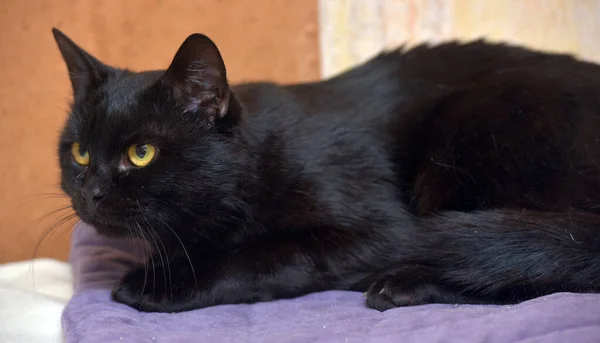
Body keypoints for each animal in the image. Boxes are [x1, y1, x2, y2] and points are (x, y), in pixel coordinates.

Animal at [51, 28, 600, 314]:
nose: (91, 191)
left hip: (477, 125)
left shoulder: (374, 229)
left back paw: (403, 284)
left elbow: (266, 255)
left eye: (141, 152)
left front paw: (161, 284)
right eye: (79, 152)